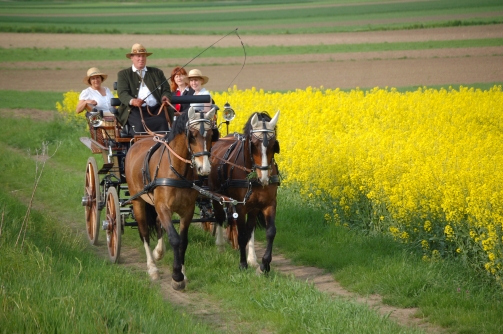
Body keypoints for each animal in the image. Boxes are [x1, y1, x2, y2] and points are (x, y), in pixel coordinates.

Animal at [126, 107, 217, 290]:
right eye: (192, 135)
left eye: (212, 134)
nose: (204, 169)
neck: (177, 169)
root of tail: (137, 142)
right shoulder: (163, 207)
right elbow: (174, 239)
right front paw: (176, 276)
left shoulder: (187, 210)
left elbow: (183, 241)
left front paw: (183, 274)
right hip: (138, 201)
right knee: (144, 232)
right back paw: (152, 268)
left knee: (158, 223)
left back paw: (159, 252)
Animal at [208, 111, 280, 272]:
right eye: (253, 145)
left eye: (274, 145)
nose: (264, 178)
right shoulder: (240, 206)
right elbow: (241, 234)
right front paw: (242, 264)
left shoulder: (268, 203)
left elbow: (269, 232)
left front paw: (264, 264)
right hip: (216, 194)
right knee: (220, 217)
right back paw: (220, 246)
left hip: (252, 207)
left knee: (249, 228)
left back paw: (252, 259)